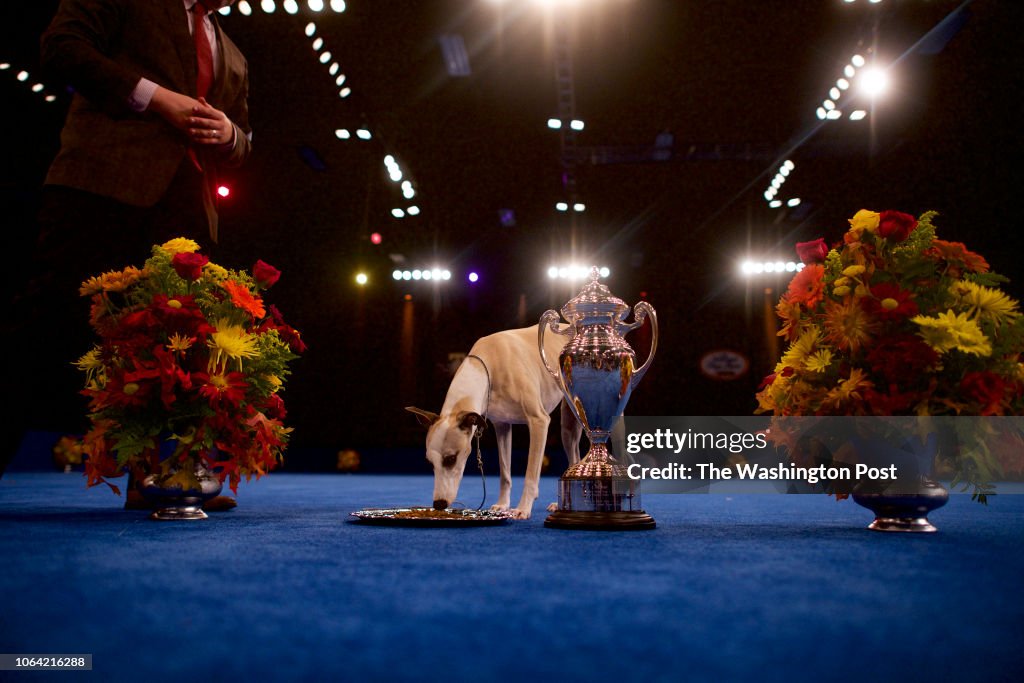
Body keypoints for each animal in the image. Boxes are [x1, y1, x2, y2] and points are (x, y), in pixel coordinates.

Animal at [407, 323, 585, 520]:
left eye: (451, 459)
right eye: (430, 462)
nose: (439, 504)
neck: (489, 365)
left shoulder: (538, 421)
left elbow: (531, 474)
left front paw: (523, 508)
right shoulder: (502, 426)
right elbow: (505, 473)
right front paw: (502, 505)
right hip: (569, 428)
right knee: (575, 456)